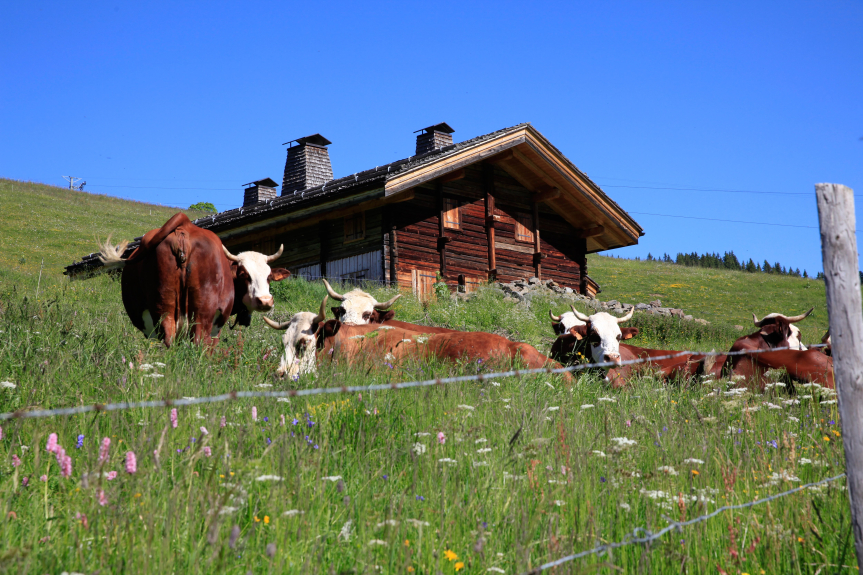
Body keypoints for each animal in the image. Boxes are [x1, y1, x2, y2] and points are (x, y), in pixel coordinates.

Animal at [97, 213, 289, 346]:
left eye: (269, 277)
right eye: (244, 274)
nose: (265, 301)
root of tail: (185, 225)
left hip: (163, 306)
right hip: (202, 311)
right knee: (198, 341)